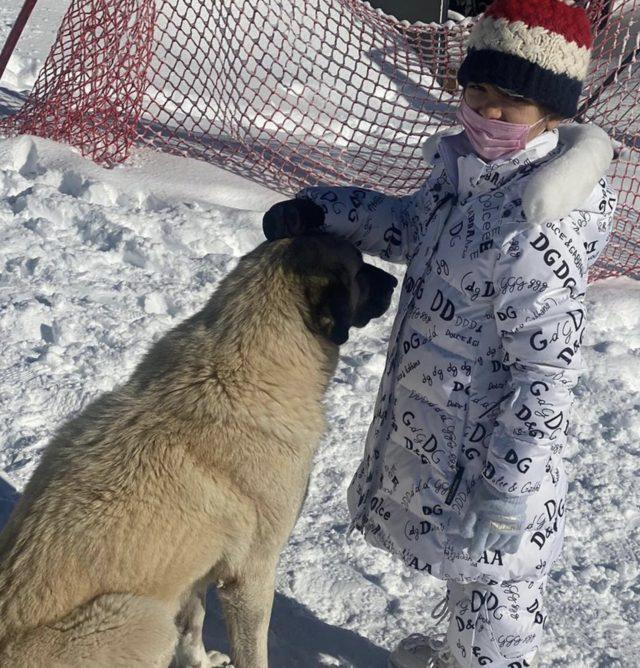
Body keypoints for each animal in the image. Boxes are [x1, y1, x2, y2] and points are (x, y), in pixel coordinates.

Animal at [0, 235, 396, 668]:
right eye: (359, 268)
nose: (395, 282)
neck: (241, 366)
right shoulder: (250, 576)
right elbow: (252, 650)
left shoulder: (193, 569)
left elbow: (192, 629)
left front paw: (202, 661)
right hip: (143, 618)